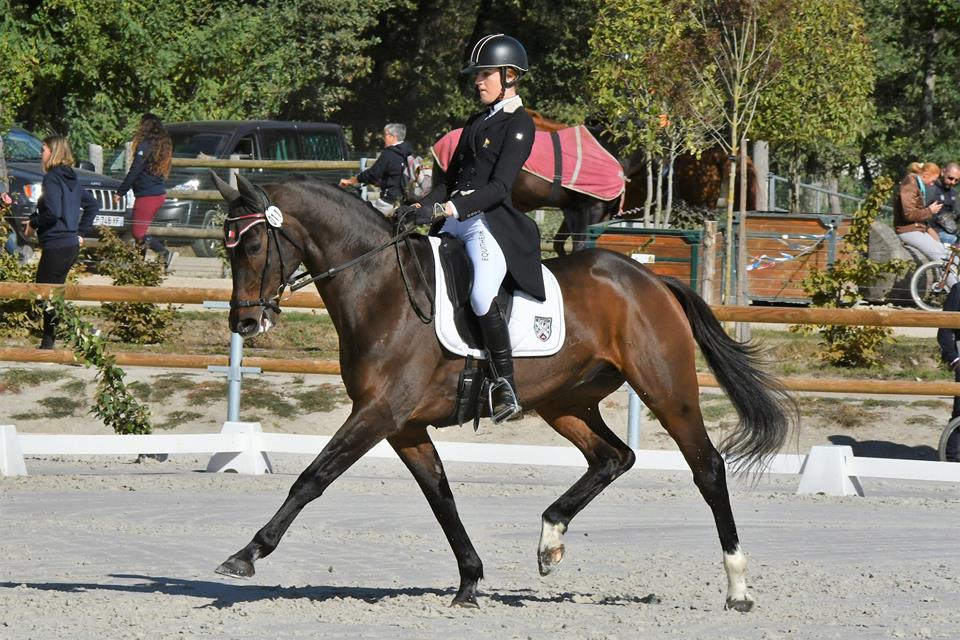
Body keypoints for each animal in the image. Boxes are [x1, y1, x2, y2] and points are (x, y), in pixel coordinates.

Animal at [214, 172, 792, 612]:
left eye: (255, 245)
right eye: (227, 246)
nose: (244, 322)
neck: (383, 291)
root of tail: (649, 280)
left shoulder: (378, 414)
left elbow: (313, 478)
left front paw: (246, 554)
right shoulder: (404, 426)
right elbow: (441, 497)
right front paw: (470, 581)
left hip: (665, 389)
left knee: (706, 467)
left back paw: (738, 588)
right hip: (565, 401)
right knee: (613, 456)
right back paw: (550, 540)